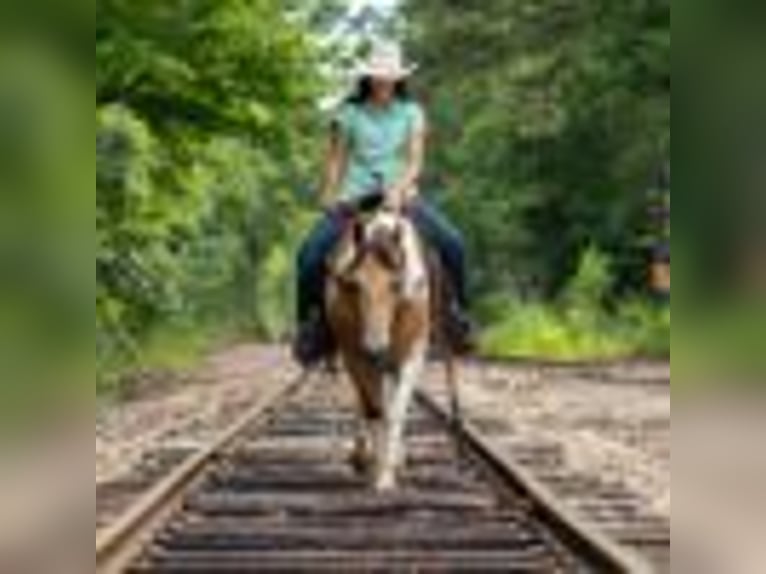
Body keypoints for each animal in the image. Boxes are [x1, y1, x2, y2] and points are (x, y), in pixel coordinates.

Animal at [325, 206, 433, 491]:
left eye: (396, 284)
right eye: (354, 285)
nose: (375, 348)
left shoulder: (412, 353)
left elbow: (395, 411)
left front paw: (388, 474)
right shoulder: (354, 355)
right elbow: (374, 408)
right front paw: (377, 469)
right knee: (366, 403)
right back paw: (363, 455)